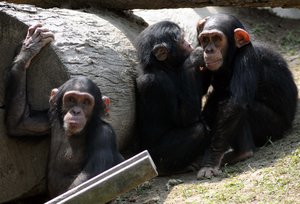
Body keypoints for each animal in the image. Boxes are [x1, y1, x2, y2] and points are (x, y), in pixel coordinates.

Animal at [4, 24, 124, 198]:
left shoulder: (104, 136)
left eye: (86, 102)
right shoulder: (51, 118)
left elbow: (88, 183)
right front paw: (30, 48)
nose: (76, 111)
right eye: (71, 99)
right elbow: (20, 123)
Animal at [136, 20, 211, 175]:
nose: (189, 44)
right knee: (197, 130)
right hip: (157, 157)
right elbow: (183, 119)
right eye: (181, 41)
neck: (164, 67)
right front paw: (193, 58)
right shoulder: (157, 83)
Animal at [195, 13, 298, 178]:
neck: (235, 52)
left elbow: (235, 104)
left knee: (243, 107)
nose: (209, 50)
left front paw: (210, 162)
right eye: (205, 39)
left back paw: (242, 153)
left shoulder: (247, 59)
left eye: (216, 38)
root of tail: (289, 125)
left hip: (273, 127)